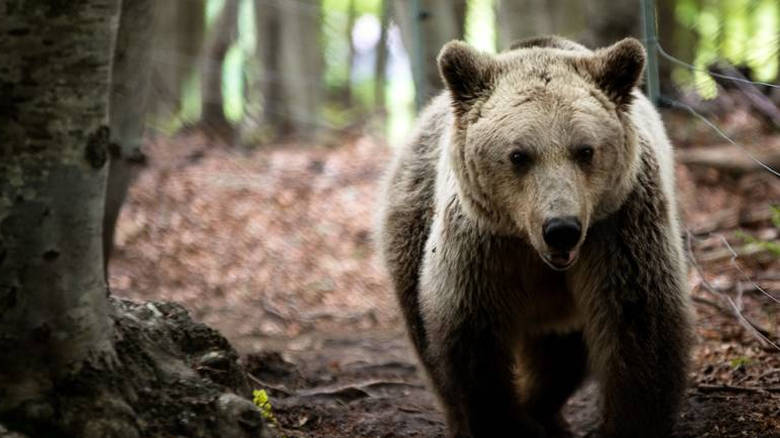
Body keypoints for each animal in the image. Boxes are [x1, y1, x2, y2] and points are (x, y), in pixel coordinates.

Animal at [378, 35, 696, 438]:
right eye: (518, 155)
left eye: (585, 150)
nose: (561, 229)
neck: (530, 245)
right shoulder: (482, 242)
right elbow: (472, 339)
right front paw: (502, 422)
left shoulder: (618, 227)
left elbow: (639, 326)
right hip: (414, 219)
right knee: (426, 339)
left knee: (560, 358)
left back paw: (544, 414)